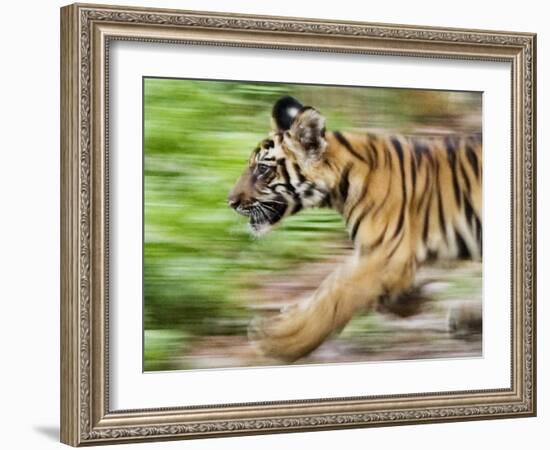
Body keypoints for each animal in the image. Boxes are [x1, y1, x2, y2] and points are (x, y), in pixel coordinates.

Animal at [229, 96, 484, 362]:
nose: (230, 201)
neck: (340, 190)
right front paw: (411, 299)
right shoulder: (372, 252)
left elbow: (334, 297)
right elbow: (329, 286)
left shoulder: (385, 255)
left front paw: (278, 340)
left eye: (263, 169)